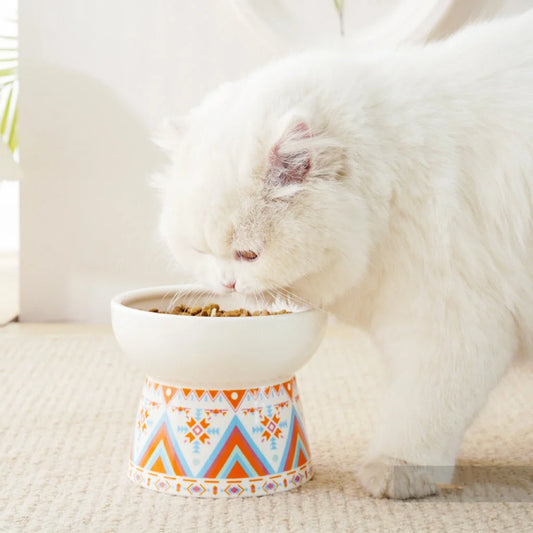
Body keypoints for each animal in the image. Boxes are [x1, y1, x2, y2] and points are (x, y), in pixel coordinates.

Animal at [153, 9, 532, 498]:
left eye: (248, 255)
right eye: (200, 250)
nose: (227, 283)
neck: (396, 176)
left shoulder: (450, 321)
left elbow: (421, 414)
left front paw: (396, 472)